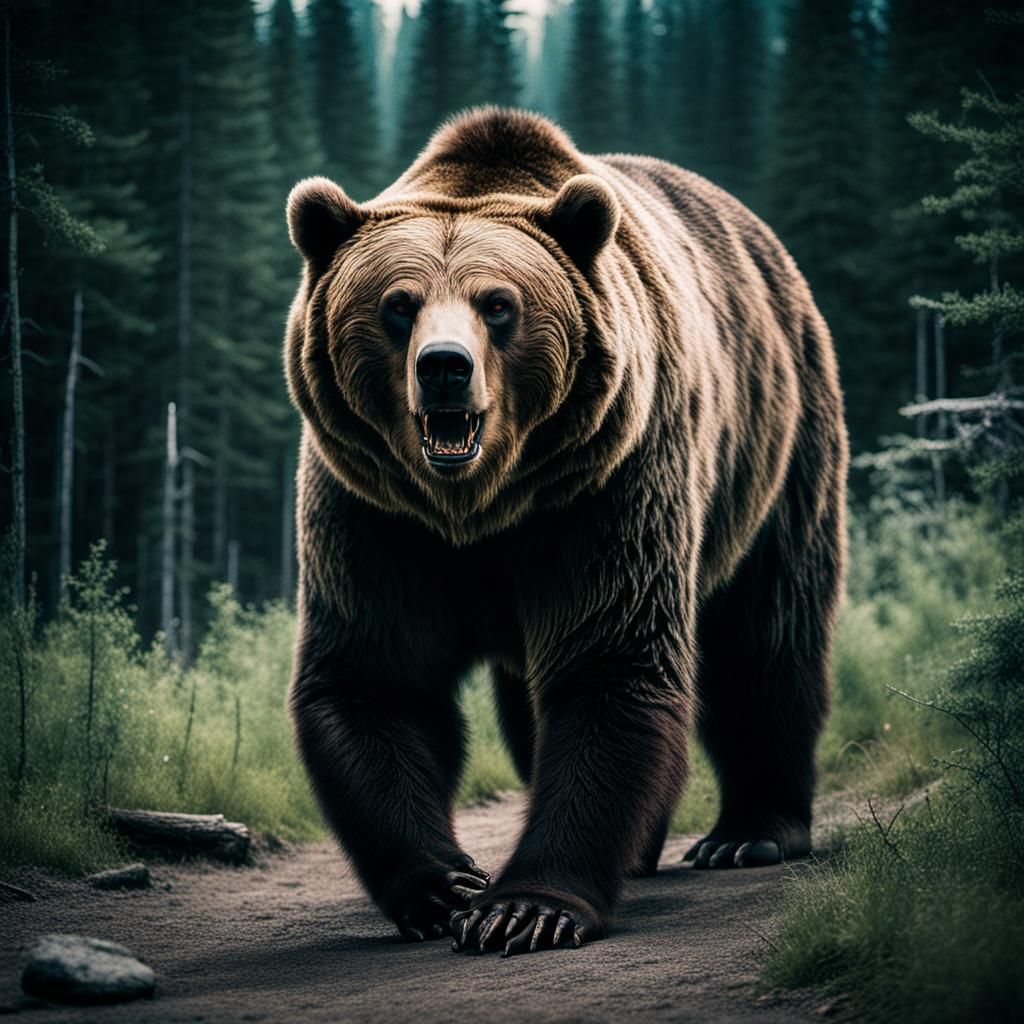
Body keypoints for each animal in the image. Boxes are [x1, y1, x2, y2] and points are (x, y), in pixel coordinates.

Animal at [284, 107, 847, 957]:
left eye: (497, 304)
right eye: (398, 304)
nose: (444, 367)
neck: (480, 509)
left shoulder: (608, 485)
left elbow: (609, 663)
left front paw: (525, 909)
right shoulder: (375, 510)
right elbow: (377, 676)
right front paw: (445, 886)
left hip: (778, 447)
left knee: (764, 640)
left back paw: (751, 832)